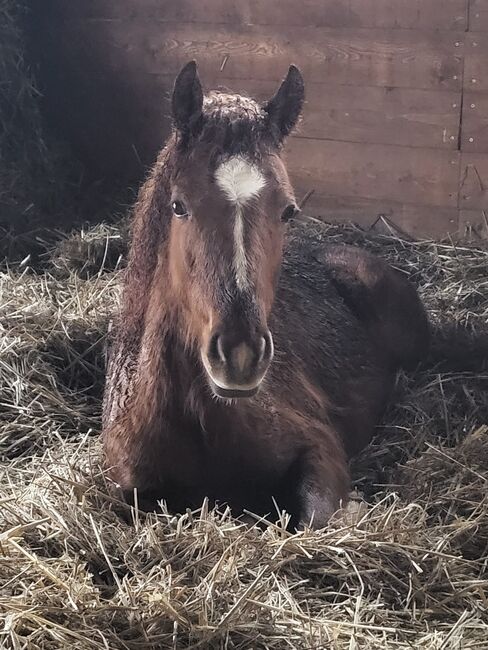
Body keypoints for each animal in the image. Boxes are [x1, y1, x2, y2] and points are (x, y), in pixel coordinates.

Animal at [102, 60, 428, 528]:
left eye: (288, 210)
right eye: (179, 205)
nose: (240, 356)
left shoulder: (320, 446)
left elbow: (314, 518)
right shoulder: (129, 487)